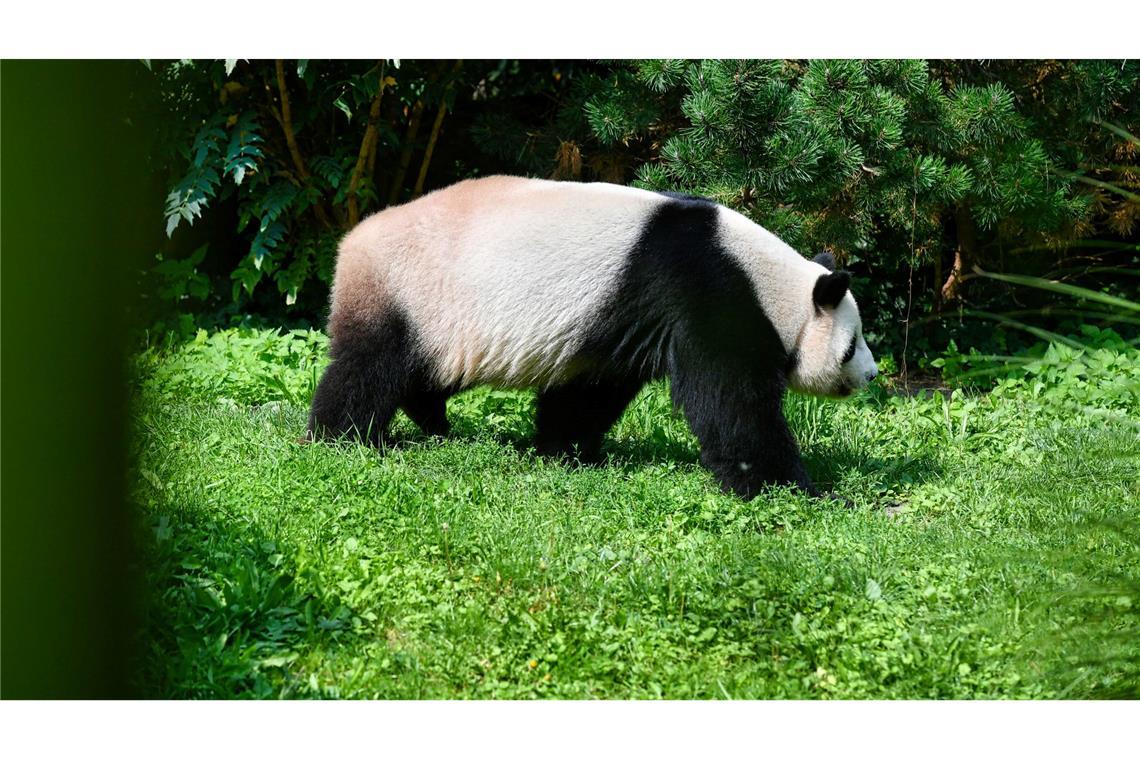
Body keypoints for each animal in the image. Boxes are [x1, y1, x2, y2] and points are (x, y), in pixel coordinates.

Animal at [307, 175, 875, 501]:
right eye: (851, 345)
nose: (871, 375)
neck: (772, 283)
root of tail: (351, 240)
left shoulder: (619, 319)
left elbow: (591, 389)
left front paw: (567, 451)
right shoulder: (707, 292)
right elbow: (730, 401)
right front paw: (799, 490)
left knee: (425, 372)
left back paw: (432, 421)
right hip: (411, 290)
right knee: (369, 367)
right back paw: (343, 438)